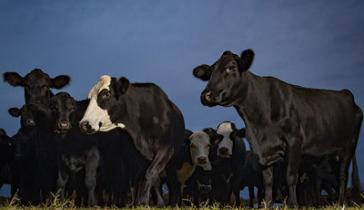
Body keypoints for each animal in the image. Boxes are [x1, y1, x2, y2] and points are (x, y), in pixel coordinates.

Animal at [79, 75, 185, 205]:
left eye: (106, 94)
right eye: (89, 98)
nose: (84, 124)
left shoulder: (166, 148)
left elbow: (150, 173)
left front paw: (145, 202)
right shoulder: (138, 155)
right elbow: (149, 178)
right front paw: (145, 202)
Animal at [192, 48, 362, 207]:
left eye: (231, 67)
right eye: (210, 72)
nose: (206, 95)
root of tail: (345, 93)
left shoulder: (294, 142)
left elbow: (290, 177)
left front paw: (293, 205)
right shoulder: (262, 150)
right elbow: (267, 182)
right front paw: (267, 205)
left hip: (349, 146)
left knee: (342, 175)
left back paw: (342, 203)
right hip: (331, 154)